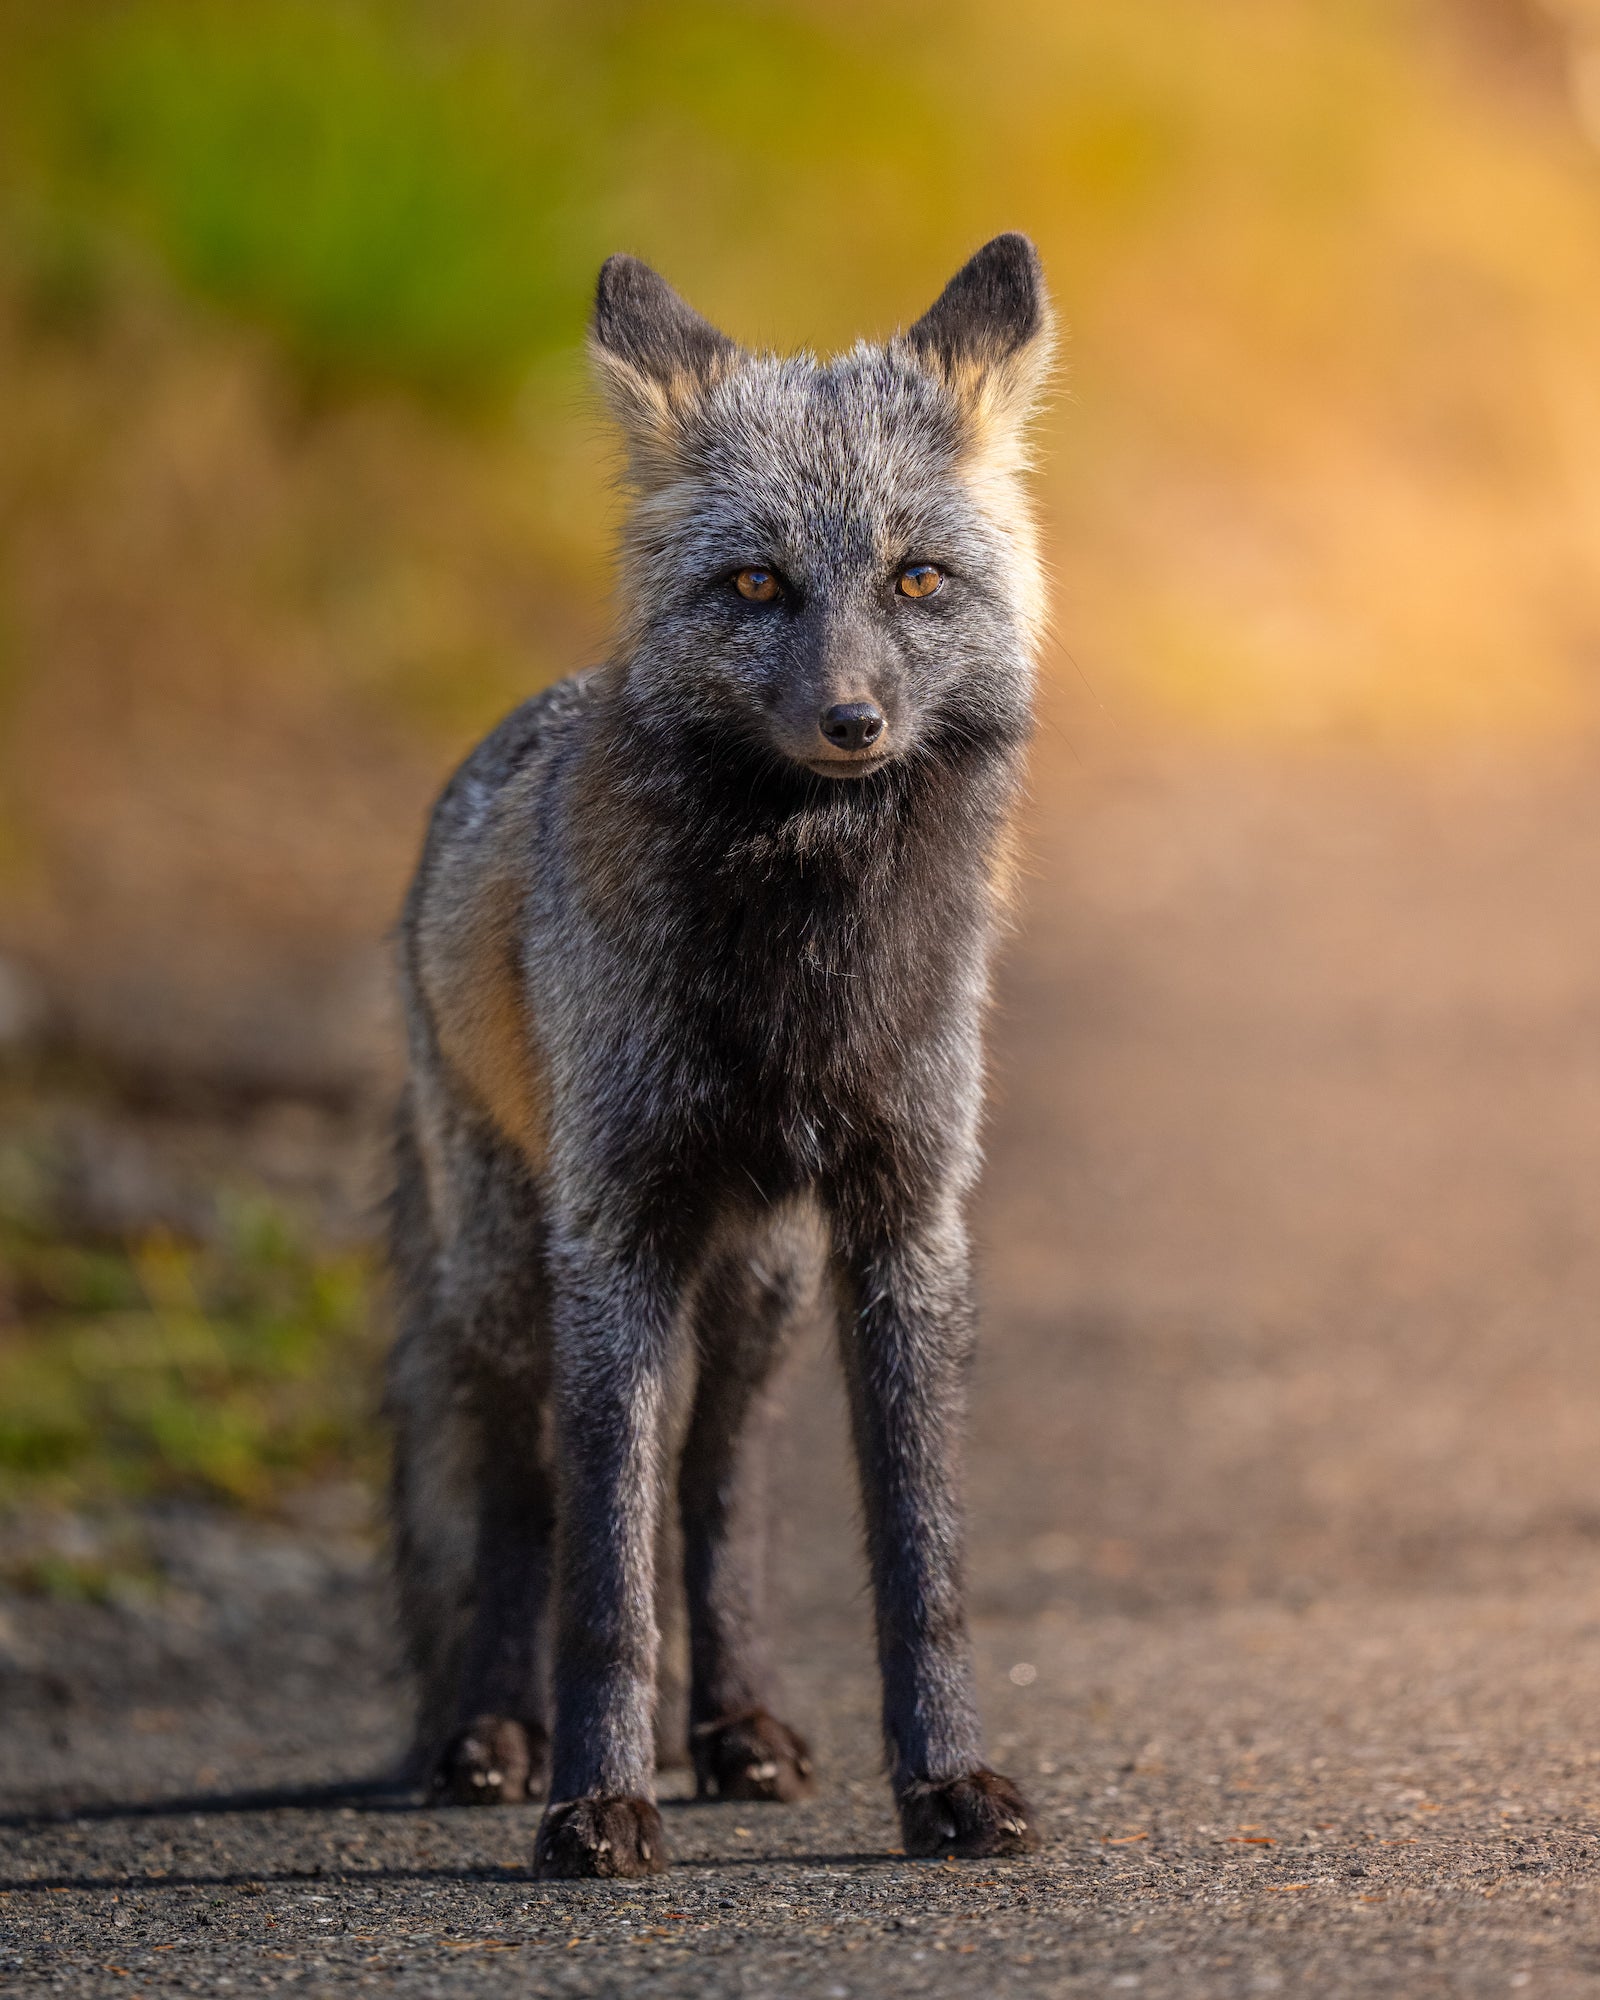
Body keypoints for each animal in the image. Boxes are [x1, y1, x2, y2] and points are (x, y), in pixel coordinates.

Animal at [385, 232, 1054, 1879]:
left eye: (916, 578)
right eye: (757, 584)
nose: (852, 721)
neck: (801, 972)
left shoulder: (904, 1219)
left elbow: (921, 1558)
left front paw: (947, 1782)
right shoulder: (616, 1232)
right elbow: (605, 1582)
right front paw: (597, 1801)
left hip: (756, 1290)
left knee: (719, 1486)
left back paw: (739, 1722)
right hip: (511, 1277)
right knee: (524, 1494)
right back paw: (489, 1731)